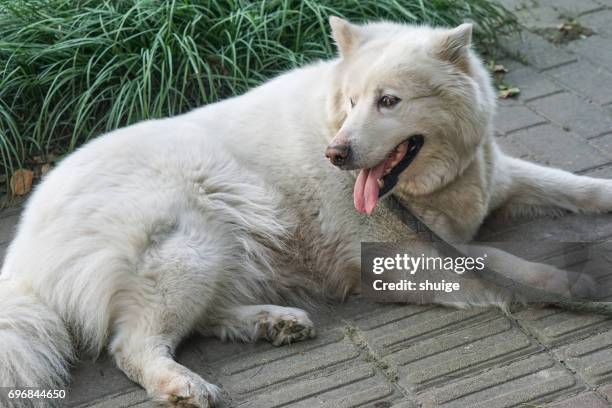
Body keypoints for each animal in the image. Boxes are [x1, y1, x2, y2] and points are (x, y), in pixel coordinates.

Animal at [1, 16, 612, 408]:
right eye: (352, 102)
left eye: (388, 101)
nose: (336, 153)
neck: (426, 188)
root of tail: (22, 255)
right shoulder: (399, 260)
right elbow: (501, 263)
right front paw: (571, 284)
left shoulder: (498, 178)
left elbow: (575, 186)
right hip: (197, 240)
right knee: (131, 345)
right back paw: (181, 385)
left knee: (195, 319)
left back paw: (274, 322)